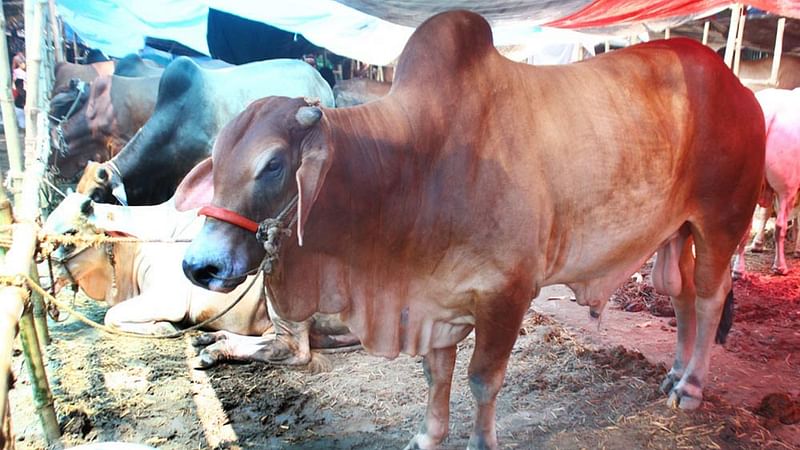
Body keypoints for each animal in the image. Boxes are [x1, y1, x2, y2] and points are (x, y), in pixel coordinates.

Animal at [178, 10, 764, 450]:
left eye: (273, 164)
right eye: (216, 157)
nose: (198, 265)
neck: (411, 165)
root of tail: (738, 86)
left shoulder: (508, 292)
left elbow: (483, 380)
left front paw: (480, 442)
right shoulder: (432, 299)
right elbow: (436, 375)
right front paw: (427, 437)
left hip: (721, 220)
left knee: (710, 297)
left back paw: (691, 386)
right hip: (676, 230)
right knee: (681, 295)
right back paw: (673, 376)